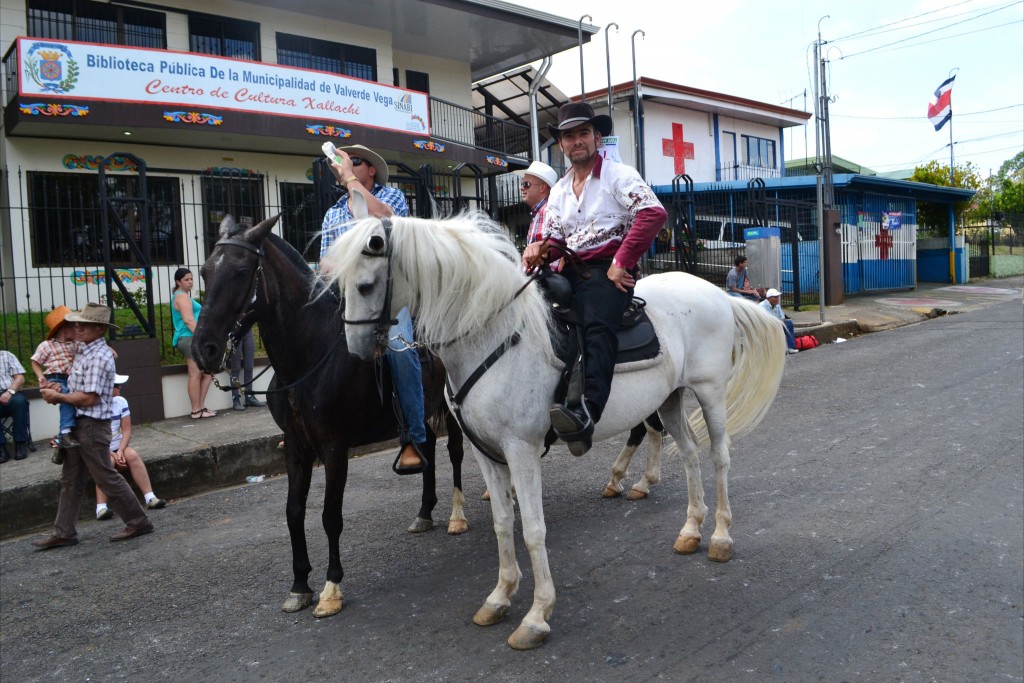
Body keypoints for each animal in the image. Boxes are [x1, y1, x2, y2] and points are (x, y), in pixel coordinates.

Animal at [323, 210, 786, 651]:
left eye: (365, 285)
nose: (355, 351)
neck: (493, 333)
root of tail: (717, 294)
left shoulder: (521, 450)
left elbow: (532, 529)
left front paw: (536, 615)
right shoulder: (484, 452)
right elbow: (502, 522)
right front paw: (500, 596)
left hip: (709, 393)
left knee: (719, 457)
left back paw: (721, 537)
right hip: (669, 399)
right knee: (689, 455)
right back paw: (690, 530)